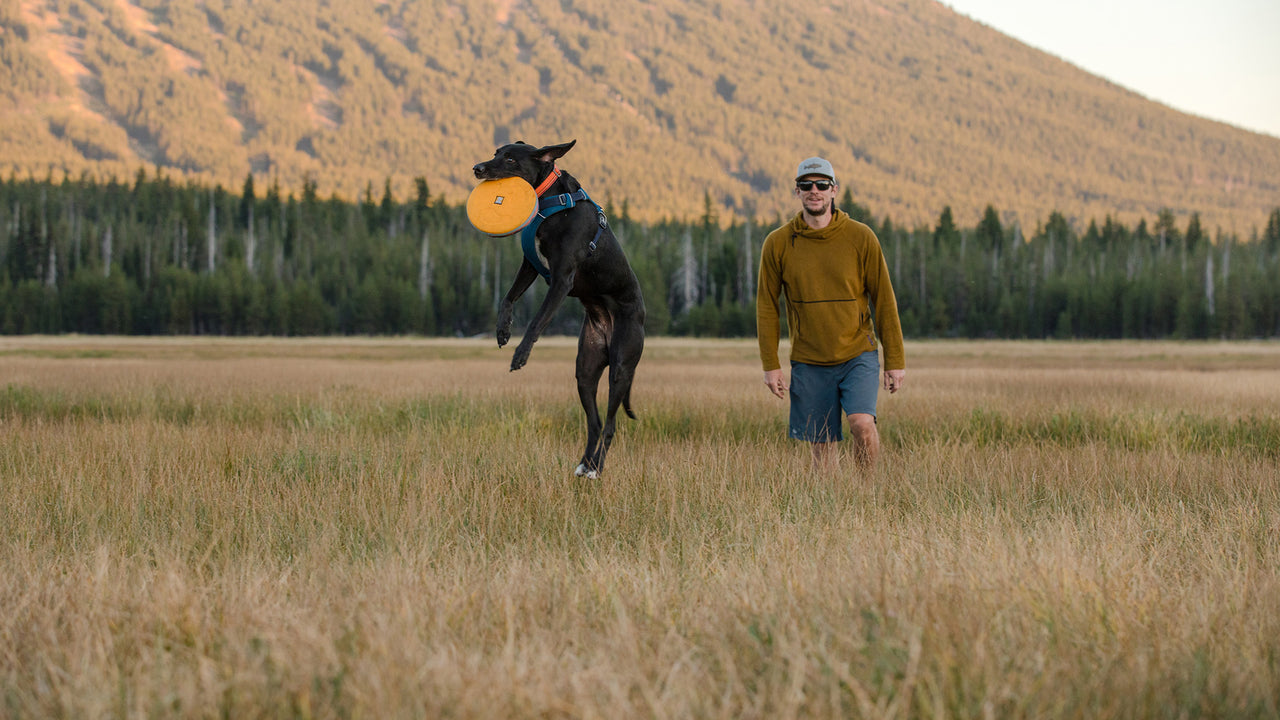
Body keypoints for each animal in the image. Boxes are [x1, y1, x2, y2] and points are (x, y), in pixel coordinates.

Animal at [473, 140, 645, 476]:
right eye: (496, 152)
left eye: (510, 158)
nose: (477, 168)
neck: (550, 200)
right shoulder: (531, 264)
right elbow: (507, 298)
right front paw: (502, 331)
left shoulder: (562, 279)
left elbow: (537, 320)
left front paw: (520, 354)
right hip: (585, 370)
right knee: (594, 423)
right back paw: (584, 464)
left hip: (620, 366)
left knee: (609, 425)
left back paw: (596, 468)